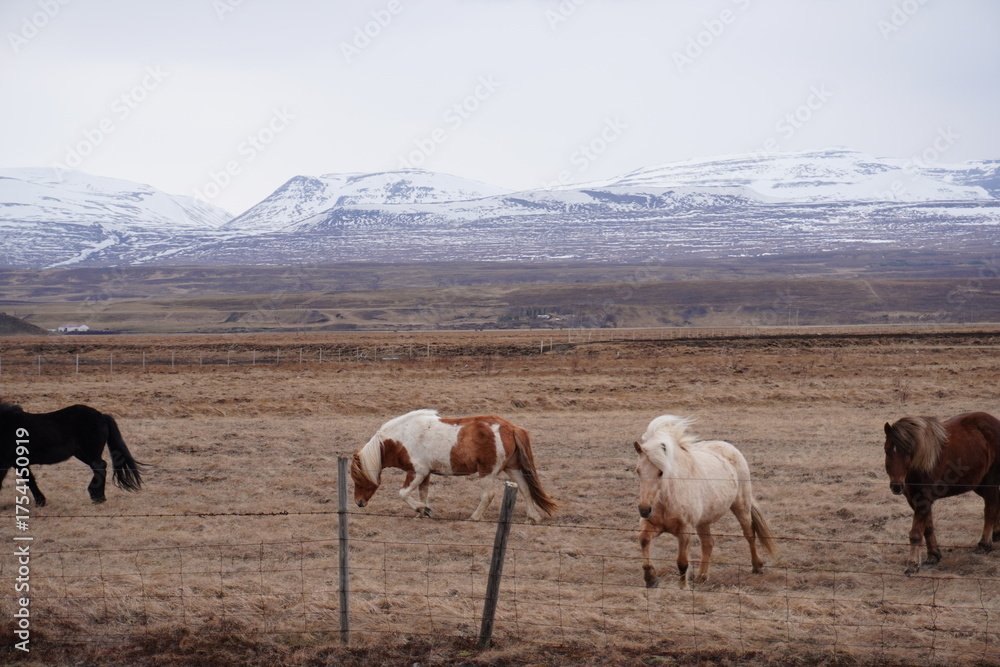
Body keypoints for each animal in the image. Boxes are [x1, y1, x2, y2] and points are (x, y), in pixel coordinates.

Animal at [0, 401, 146, 506]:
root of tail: (101, 416)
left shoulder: (6, 462)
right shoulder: (17, 462)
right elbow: (29, 479)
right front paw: (41, 501)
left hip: (89, 453)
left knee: (100, 467)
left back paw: (97, 497)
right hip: (82, 453)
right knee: (101, 467)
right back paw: (98, 497)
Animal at [350, 409, 558, 523]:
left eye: (357, 479)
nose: (359, 503)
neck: (400, 439)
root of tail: (511, 427)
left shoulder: (417, 472)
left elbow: (403, 494)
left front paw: (423, 509)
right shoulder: (425, 475)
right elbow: (422, 494)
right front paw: (422, 512)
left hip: (487, 473)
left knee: (488, 495)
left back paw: (475, 517)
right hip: (512, 468)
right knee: (525, 488)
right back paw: (533, 517)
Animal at [634, 415, 776, 589]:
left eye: (661, 472)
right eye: (638, 470)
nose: (644, 510)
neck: (667, 498)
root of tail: (729, 447)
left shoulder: (685, 531)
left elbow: (682, 562)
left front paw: (683, 587)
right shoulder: (652, 525)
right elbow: (644, 539)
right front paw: (650, 578)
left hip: (741, 506)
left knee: (749, 534)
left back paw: (757, 566)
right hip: (704, 521)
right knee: (708, 543)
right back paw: (702, 576)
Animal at [883, 411, 1000, 574]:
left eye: (907, 452)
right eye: (887, 451)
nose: (896, 486)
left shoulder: (924, 499)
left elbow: (916, 533)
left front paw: (912, 564)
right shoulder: (914, 499)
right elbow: (928, 527)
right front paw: (933, 555)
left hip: (990, 482)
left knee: (991, 508)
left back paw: (984, 544)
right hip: (978, 484)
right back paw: (996, 534)